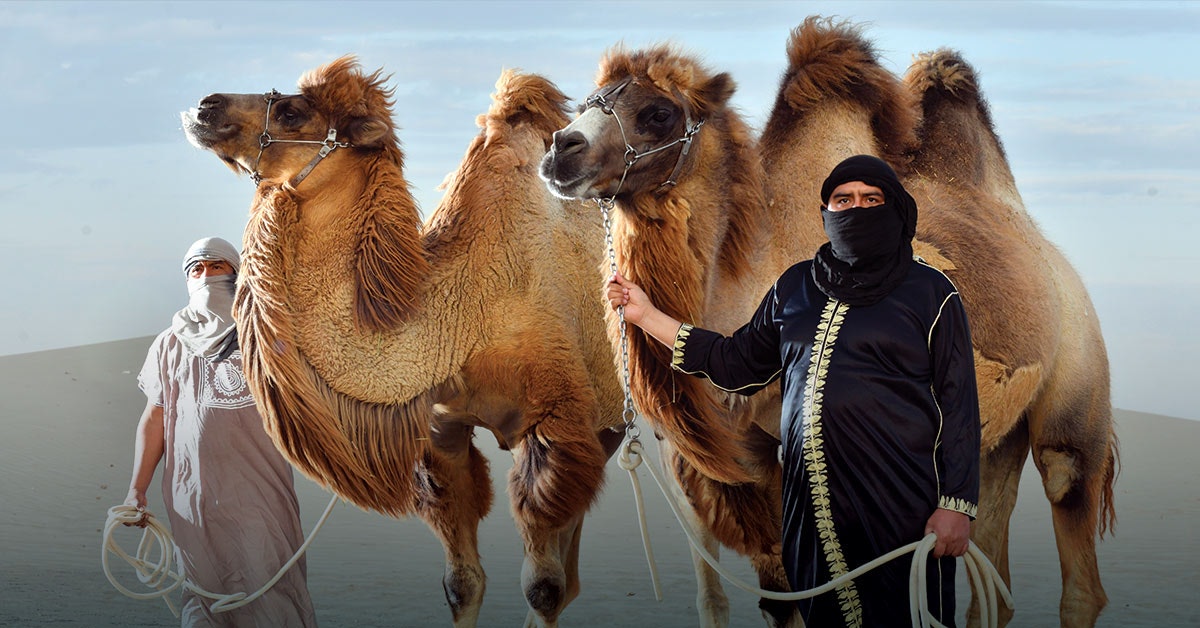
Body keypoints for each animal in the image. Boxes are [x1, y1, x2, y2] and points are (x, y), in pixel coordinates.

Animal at [181, 57, 626, 628]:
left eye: (293, 111)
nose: (204, 105)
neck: (462, 319)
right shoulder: (440, 435)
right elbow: (462, 582)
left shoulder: (556, 421)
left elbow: (543, 588)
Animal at [540, 16, 1117, 628]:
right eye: (586, 100)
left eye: (659, 112)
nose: (560, 148)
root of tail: (1052, 259)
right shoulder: (716, 459)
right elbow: (748, 597)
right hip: (993, 441)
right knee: (991, 578)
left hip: (1076, 382)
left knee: (1070, 507)